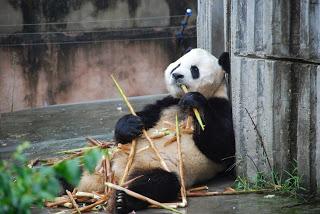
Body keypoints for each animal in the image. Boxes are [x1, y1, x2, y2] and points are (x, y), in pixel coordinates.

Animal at [76, 47, 234, 213]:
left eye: (194, 70)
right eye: (178, 65)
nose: (176, 75)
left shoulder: (220, 104)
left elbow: (223, 145)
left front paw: (195, 101)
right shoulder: (167, 103)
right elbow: (144, 117)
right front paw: (130, 125)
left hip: (154, 169)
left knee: (159, 183)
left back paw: (122, 200)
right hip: (99, 159)